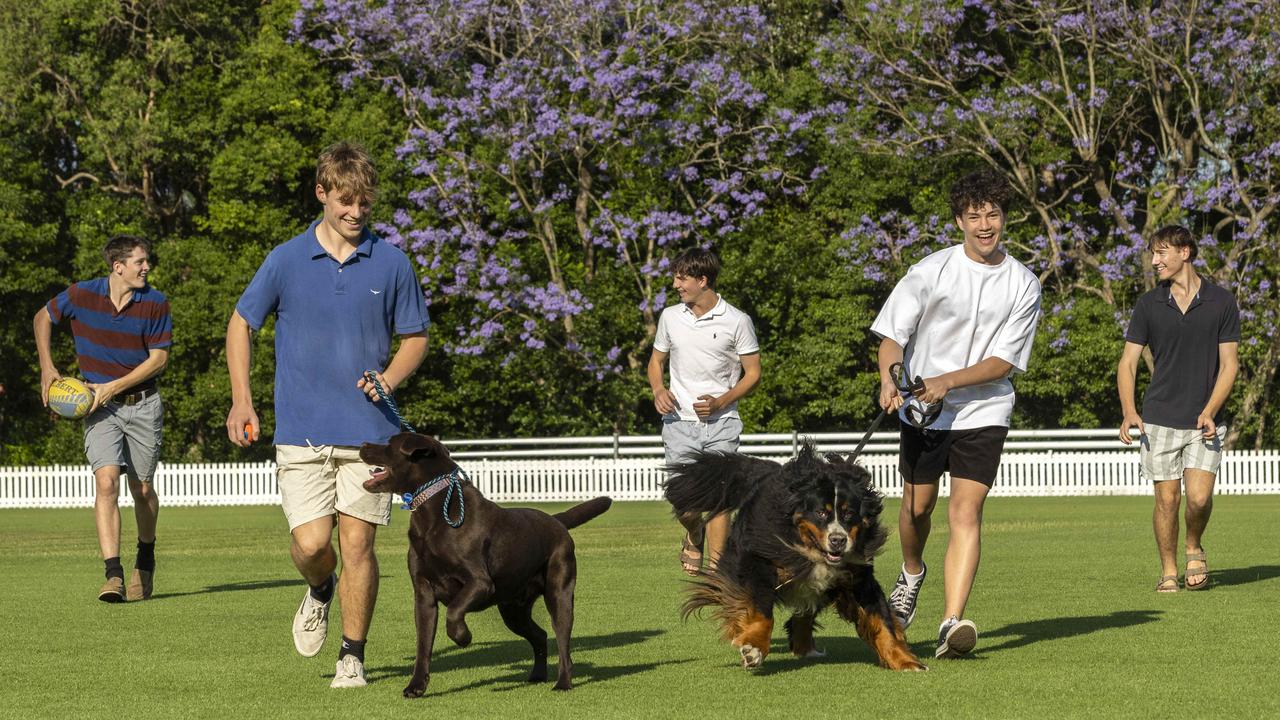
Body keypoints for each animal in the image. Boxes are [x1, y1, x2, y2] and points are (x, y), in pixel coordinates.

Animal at [665, 440, 926, 671]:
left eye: (849, 513)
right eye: (821, 513)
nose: (838, 540)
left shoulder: (858, 577)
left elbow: (881, 620)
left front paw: (904, 660)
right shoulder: (759, 560)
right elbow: (761, 610)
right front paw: (754, 647)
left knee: (804, 614)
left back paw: (805, 646)